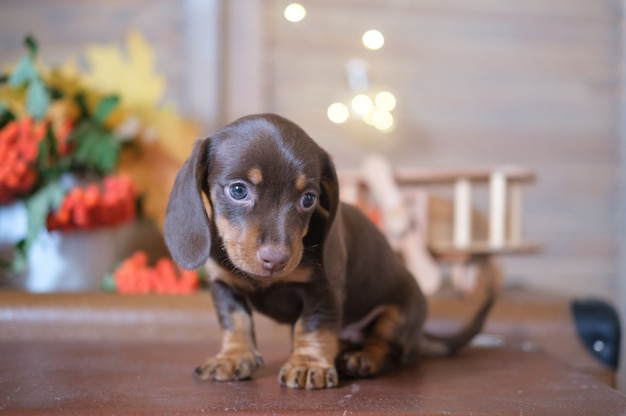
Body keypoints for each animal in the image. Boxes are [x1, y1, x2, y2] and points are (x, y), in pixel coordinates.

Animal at [162, 114, 492, 390]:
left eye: (308, 198)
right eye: (238, 190)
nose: (276, 258)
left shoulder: (323, 289)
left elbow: (313, 326)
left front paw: (309, 364)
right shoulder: (224, 286)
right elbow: (236, 324)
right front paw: (233, 357)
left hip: (400, 311)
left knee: (389, 347)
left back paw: (361, 359)